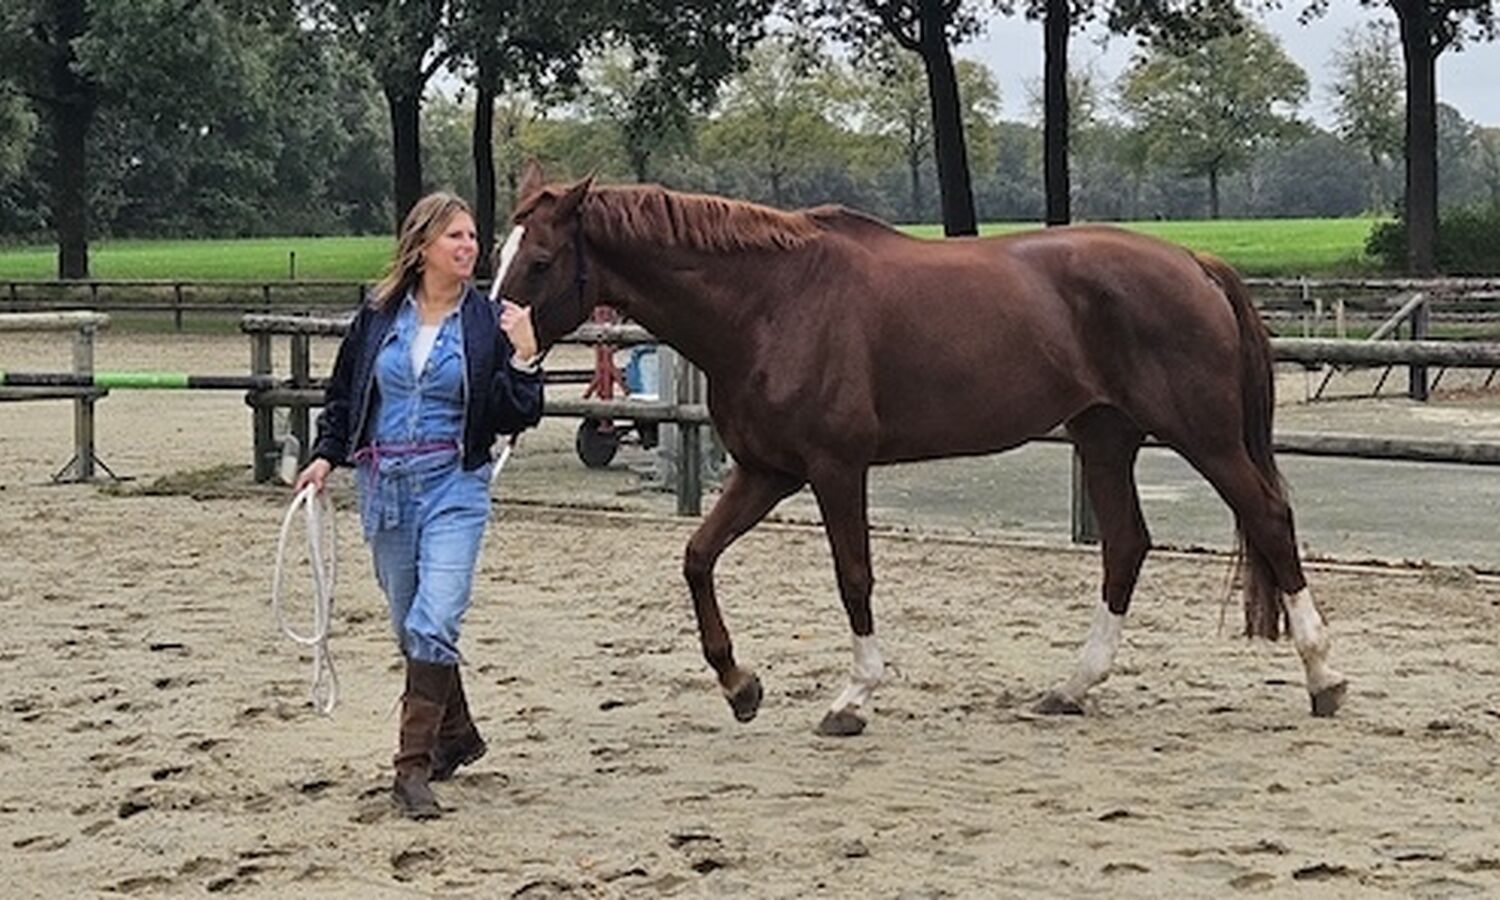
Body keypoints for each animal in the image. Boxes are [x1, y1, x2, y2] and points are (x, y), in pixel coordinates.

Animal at [495, 161, 1347, 736]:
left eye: (538, 260)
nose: (496, 347)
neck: (773, 303)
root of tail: (1193, 264)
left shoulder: (835, 470)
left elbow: (854, 578)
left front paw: (852, 697)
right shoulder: (768, 471)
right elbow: (698, 557)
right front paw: (741, 686)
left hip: (1204, 436)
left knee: (1269, 519)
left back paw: (1324, 676)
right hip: (1105, 437)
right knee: (1127, 546)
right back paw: (1070, 688)